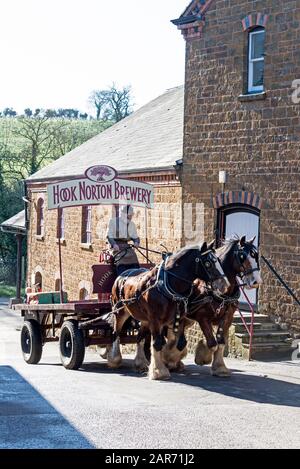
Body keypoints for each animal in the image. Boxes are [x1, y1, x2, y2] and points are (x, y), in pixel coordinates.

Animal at [108, 241, 230, 380]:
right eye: (208, 263)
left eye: (218, 261)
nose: (225, 285)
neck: (167, 283)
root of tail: (121, 276)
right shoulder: (155, 319)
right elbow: (158, 343)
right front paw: (159, 371)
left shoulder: (176, 318)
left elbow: (177, 343)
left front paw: (169, 362)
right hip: (120, 312)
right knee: (115, 333)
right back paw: (114, 360)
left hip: (144, 320)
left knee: (139, 337)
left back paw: (141, 363)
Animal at [164, 236, 262, 374]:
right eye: (242, 256)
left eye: (256, 255)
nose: (256, 282)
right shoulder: (203, 317)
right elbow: (212, 343)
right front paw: (204, 357)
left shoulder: (228, 317)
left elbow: (220, 342)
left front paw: (220, 367)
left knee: (179, 338)